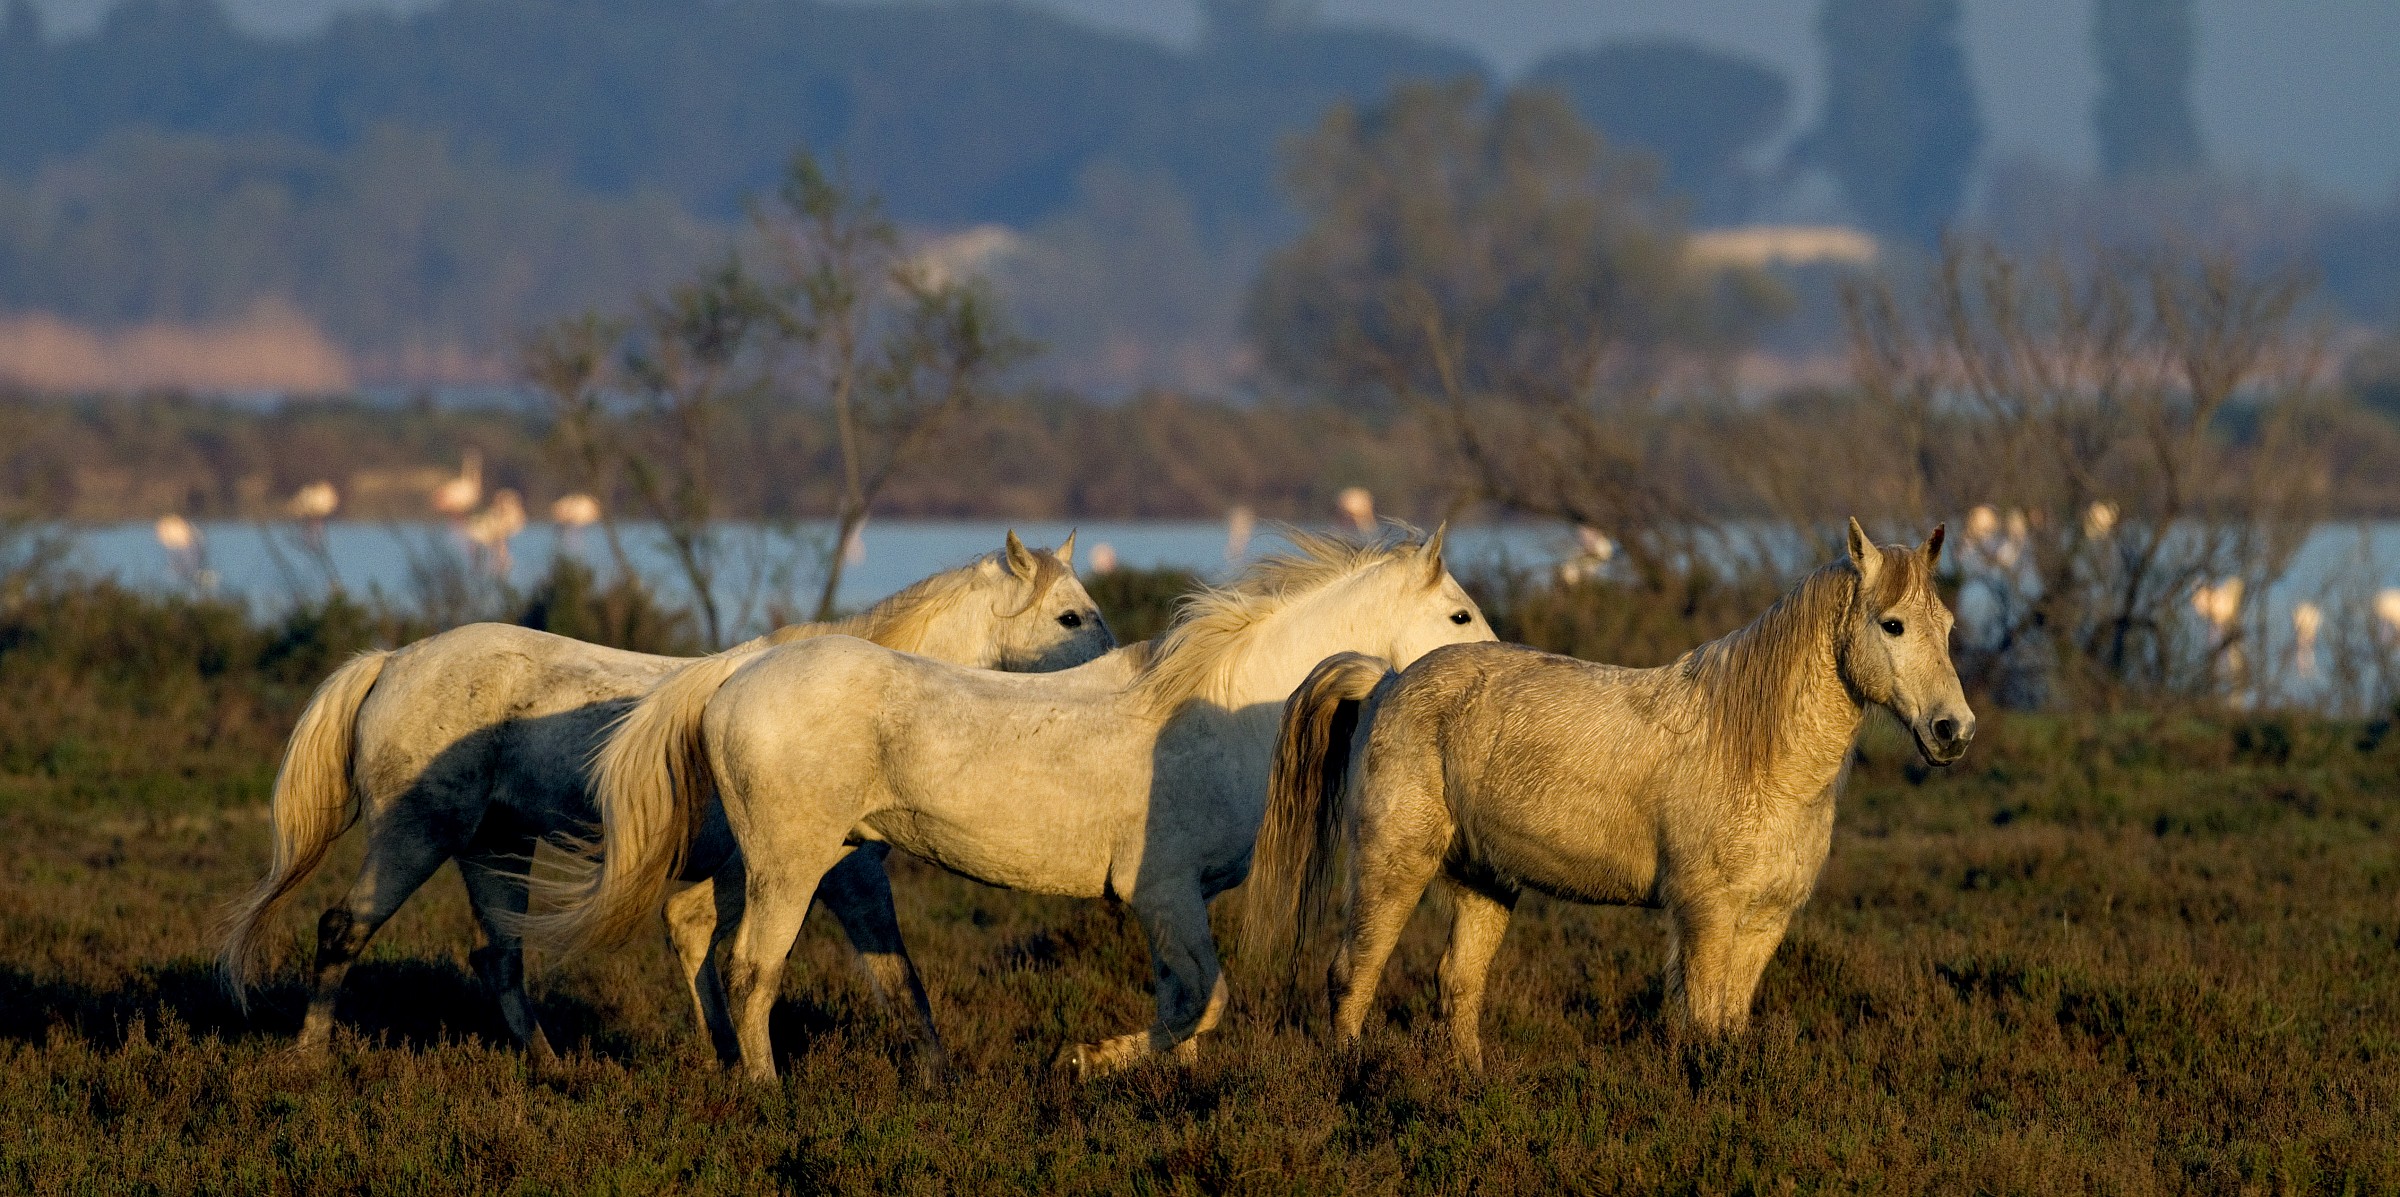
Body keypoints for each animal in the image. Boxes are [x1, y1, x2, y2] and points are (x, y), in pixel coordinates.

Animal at [220, 532, 1112, 1067]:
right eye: (1070, 615)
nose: (1112, 676)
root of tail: (393, 660)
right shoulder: (838, 870)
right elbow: (892, 974)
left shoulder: (727, 871)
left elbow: (706, 948)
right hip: (413, 836)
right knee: (344, 928)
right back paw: (309, 1057)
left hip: (496, 848)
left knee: (499, 956)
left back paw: (550, 1066)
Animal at [528, 527, 1496, 1080]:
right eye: (1458, 614)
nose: (1488, 665)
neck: (1218, 711)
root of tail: (739, 670)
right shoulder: (1165, 892)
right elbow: (1205, 1001)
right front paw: (1087, 1060)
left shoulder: (1166, 906)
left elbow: (1184, 1006)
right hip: (785, 867)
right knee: (749, 971)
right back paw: (769, 1095)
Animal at [1242, 519, 1973, 1071]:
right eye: (1892, 624)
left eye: (1948, 626)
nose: (1953, 730)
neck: (1753, 750)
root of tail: (1390, 681)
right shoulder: (1705, 914)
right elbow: (1703, 1022)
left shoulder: (1767, 919)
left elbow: (1729, 1023)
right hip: (1392, 865)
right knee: (1353, 973)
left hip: (1485, 881)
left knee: (1458, 983)